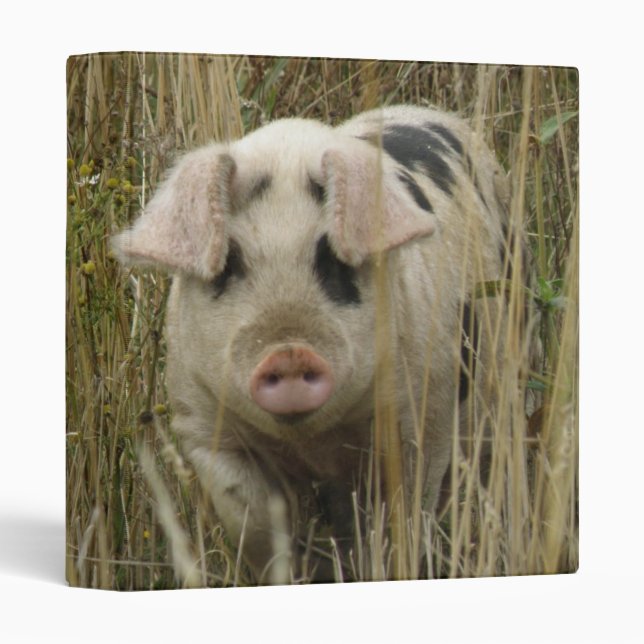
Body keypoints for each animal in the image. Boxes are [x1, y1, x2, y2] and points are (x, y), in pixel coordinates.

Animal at [113, 105, 510, 584]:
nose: (289, 353)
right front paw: (301, 569)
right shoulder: (204, 424)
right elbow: (252, 518)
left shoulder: (423, 416)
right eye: (228, 263)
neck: (314, 442)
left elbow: (404, 518)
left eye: (334, 259)